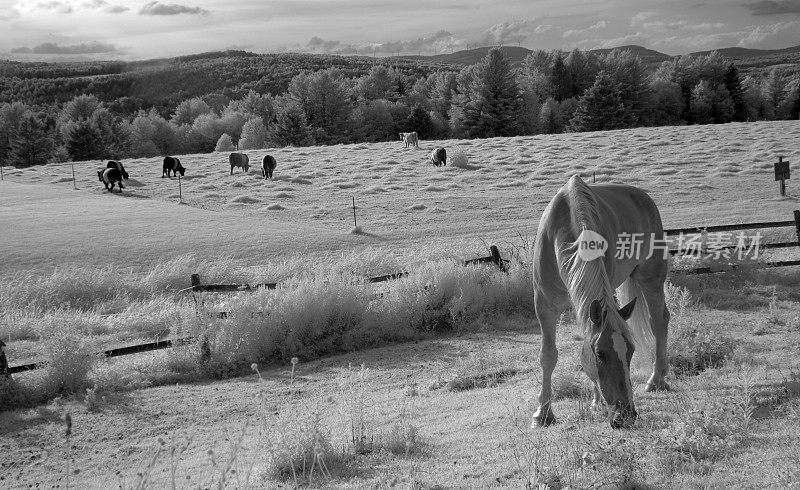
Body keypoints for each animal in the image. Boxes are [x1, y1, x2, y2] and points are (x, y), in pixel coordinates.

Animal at [536, 175, 672, 428]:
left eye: (630, 351)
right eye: (600, 354)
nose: (626, 416)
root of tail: (643, 196)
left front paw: (595, 400)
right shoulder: (544, 307)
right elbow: (548, 356)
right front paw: (543, 414)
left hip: (651, 278)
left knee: (659, 322)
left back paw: (656, 379)